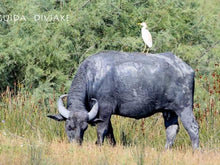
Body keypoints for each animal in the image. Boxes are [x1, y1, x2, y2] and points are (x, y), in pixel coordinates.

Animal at [48, 51, 199, 149]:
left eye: (84, 128)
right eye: (69, 126)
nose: (76, 144)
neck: (92, 77)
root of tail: (187, 69)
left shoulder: (105, 110)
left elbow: (101, 130)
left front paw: (99, 146)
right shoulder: (103, 114)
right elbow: (110, 131)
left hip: (184, 108)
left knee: (193, 127)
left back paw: (196, 150)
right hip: (169, 111)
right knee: (172, 130)